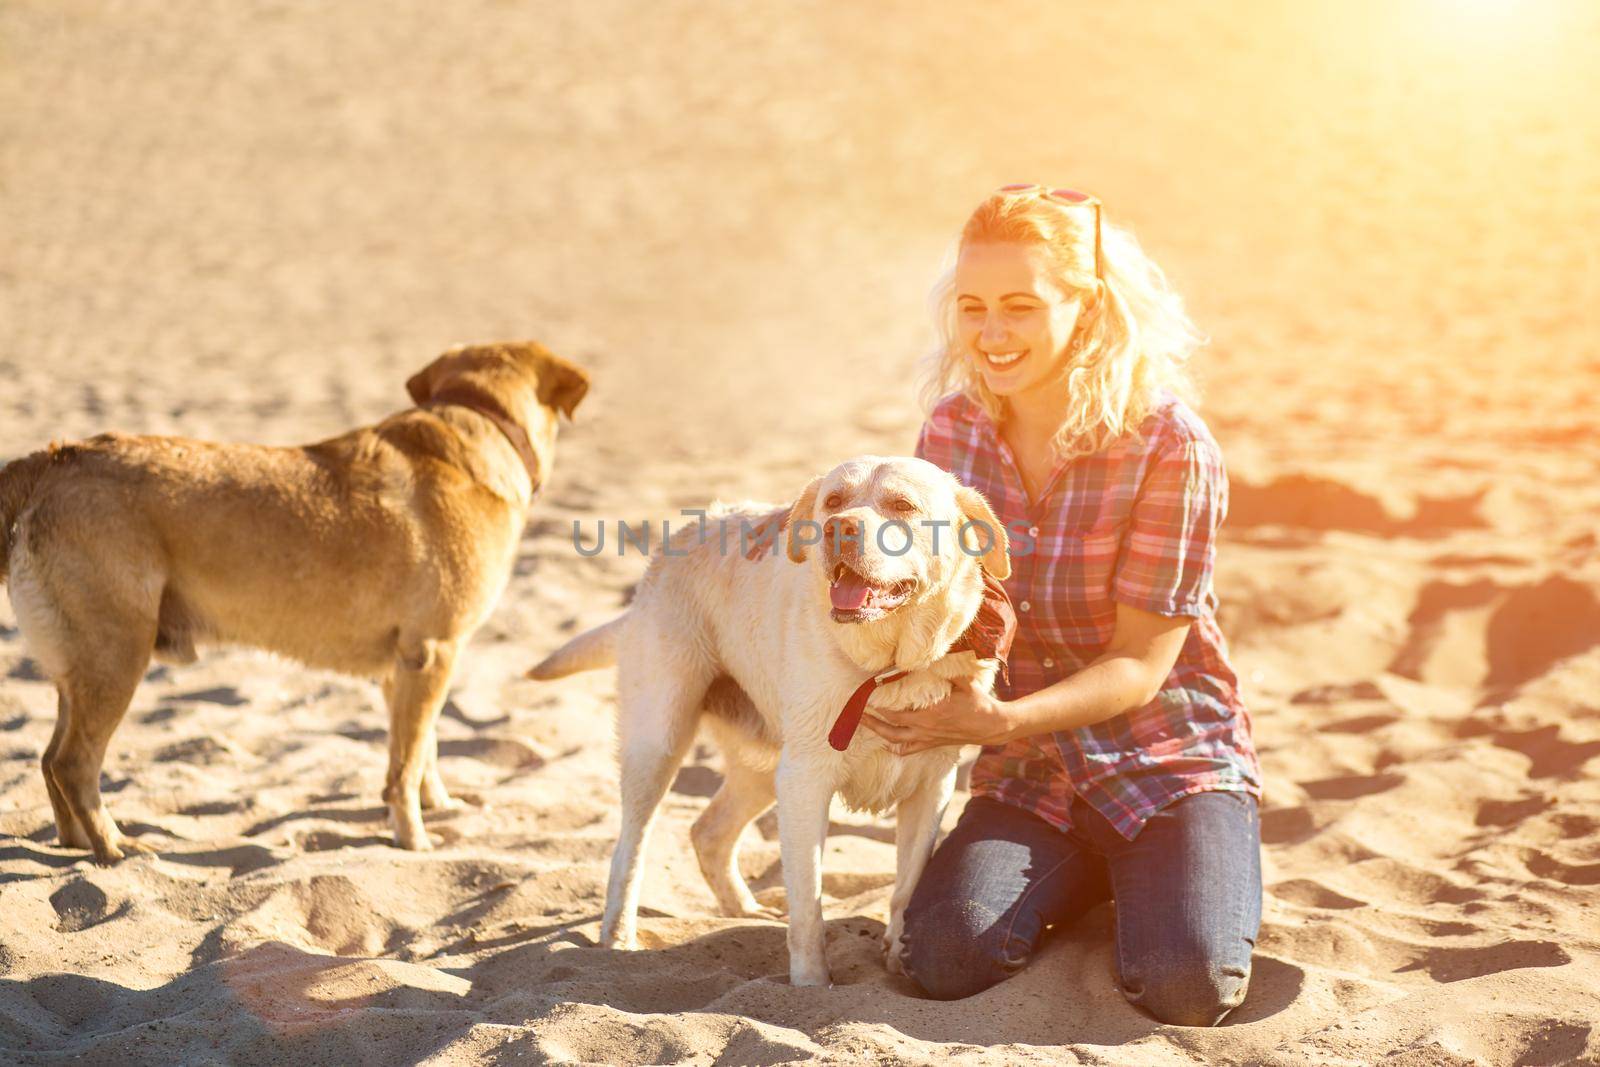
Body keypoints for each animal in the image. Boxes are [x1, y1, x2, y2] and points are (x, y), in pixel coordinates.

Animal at [0, 347, 588, 863]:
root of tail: (54, 459)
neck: (479, 419)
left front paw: (437, 803)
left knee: (49, 759)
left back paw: (74, 844)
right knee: (74, 763)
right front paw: (413, 838)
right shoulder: (433, 652)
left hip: (81, 665)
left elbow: (424, 749)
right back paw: (113, 847)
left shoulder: (410, 666)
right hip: (118, 656)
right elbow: (405, 765)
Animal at [537, 454, 1011, 991]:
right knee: (629, 848)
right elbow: (809, 902)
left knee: (707, 831)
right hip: (660, 739)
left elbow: (905, 887)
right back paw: (617, 935)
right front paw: (811, 985)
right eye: (833, 501)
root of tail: (683, 534)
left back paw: (742, 908)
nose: (839, 528)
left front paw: (895, 956)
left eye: (902, 505)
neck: (884, 668)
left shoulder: (933, 783)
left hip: (766, 765)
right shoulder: (806, 782)